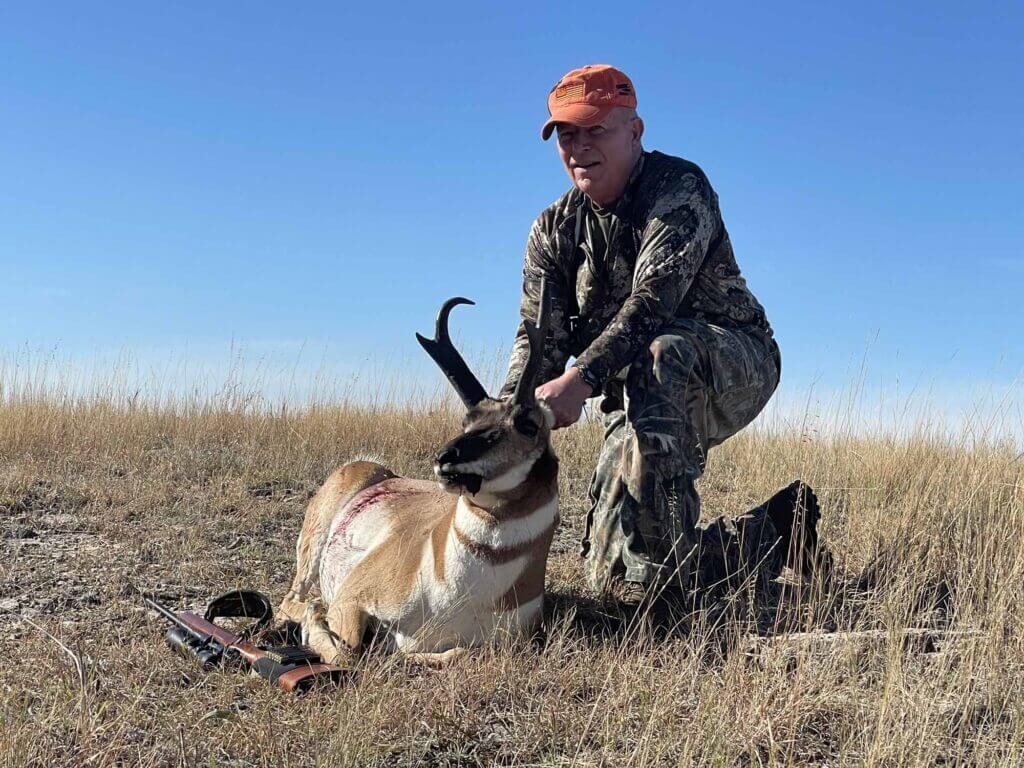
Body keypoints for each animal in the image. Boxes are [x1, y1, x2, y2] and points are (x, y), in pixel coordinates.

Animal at [277, 283, 557, 666]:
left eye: (528, 424)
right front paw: (317, 619)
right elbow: (347, 653)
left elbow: (454, 653)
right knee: (289, 602)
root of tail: (376, 470)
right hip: (312, 546)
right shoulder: (351, 599)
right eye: (468, 420)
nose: (444, 458)